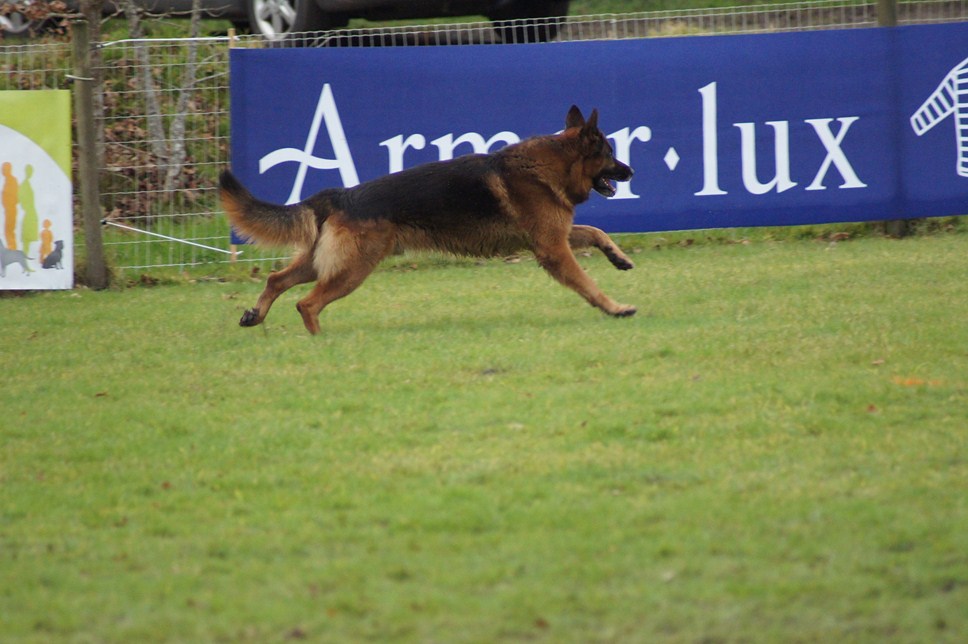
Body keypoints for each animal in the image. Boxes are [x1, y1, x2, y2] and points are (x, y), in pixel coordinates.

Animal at [223, 105, 640, 334]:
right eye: (610, 153)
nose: (631, 171)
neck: (548, 166)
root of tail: (339, 194)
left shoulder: (554, 236)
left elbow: (596, 231)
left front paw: (618, 258)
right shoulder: (553, 249)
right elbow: (587, 283)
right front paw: (616, 308)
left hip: (323, 262)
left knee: (277, 280)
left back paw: (254, 315)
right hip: (352, 269)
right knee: (307, 303)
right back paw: (319, 340)